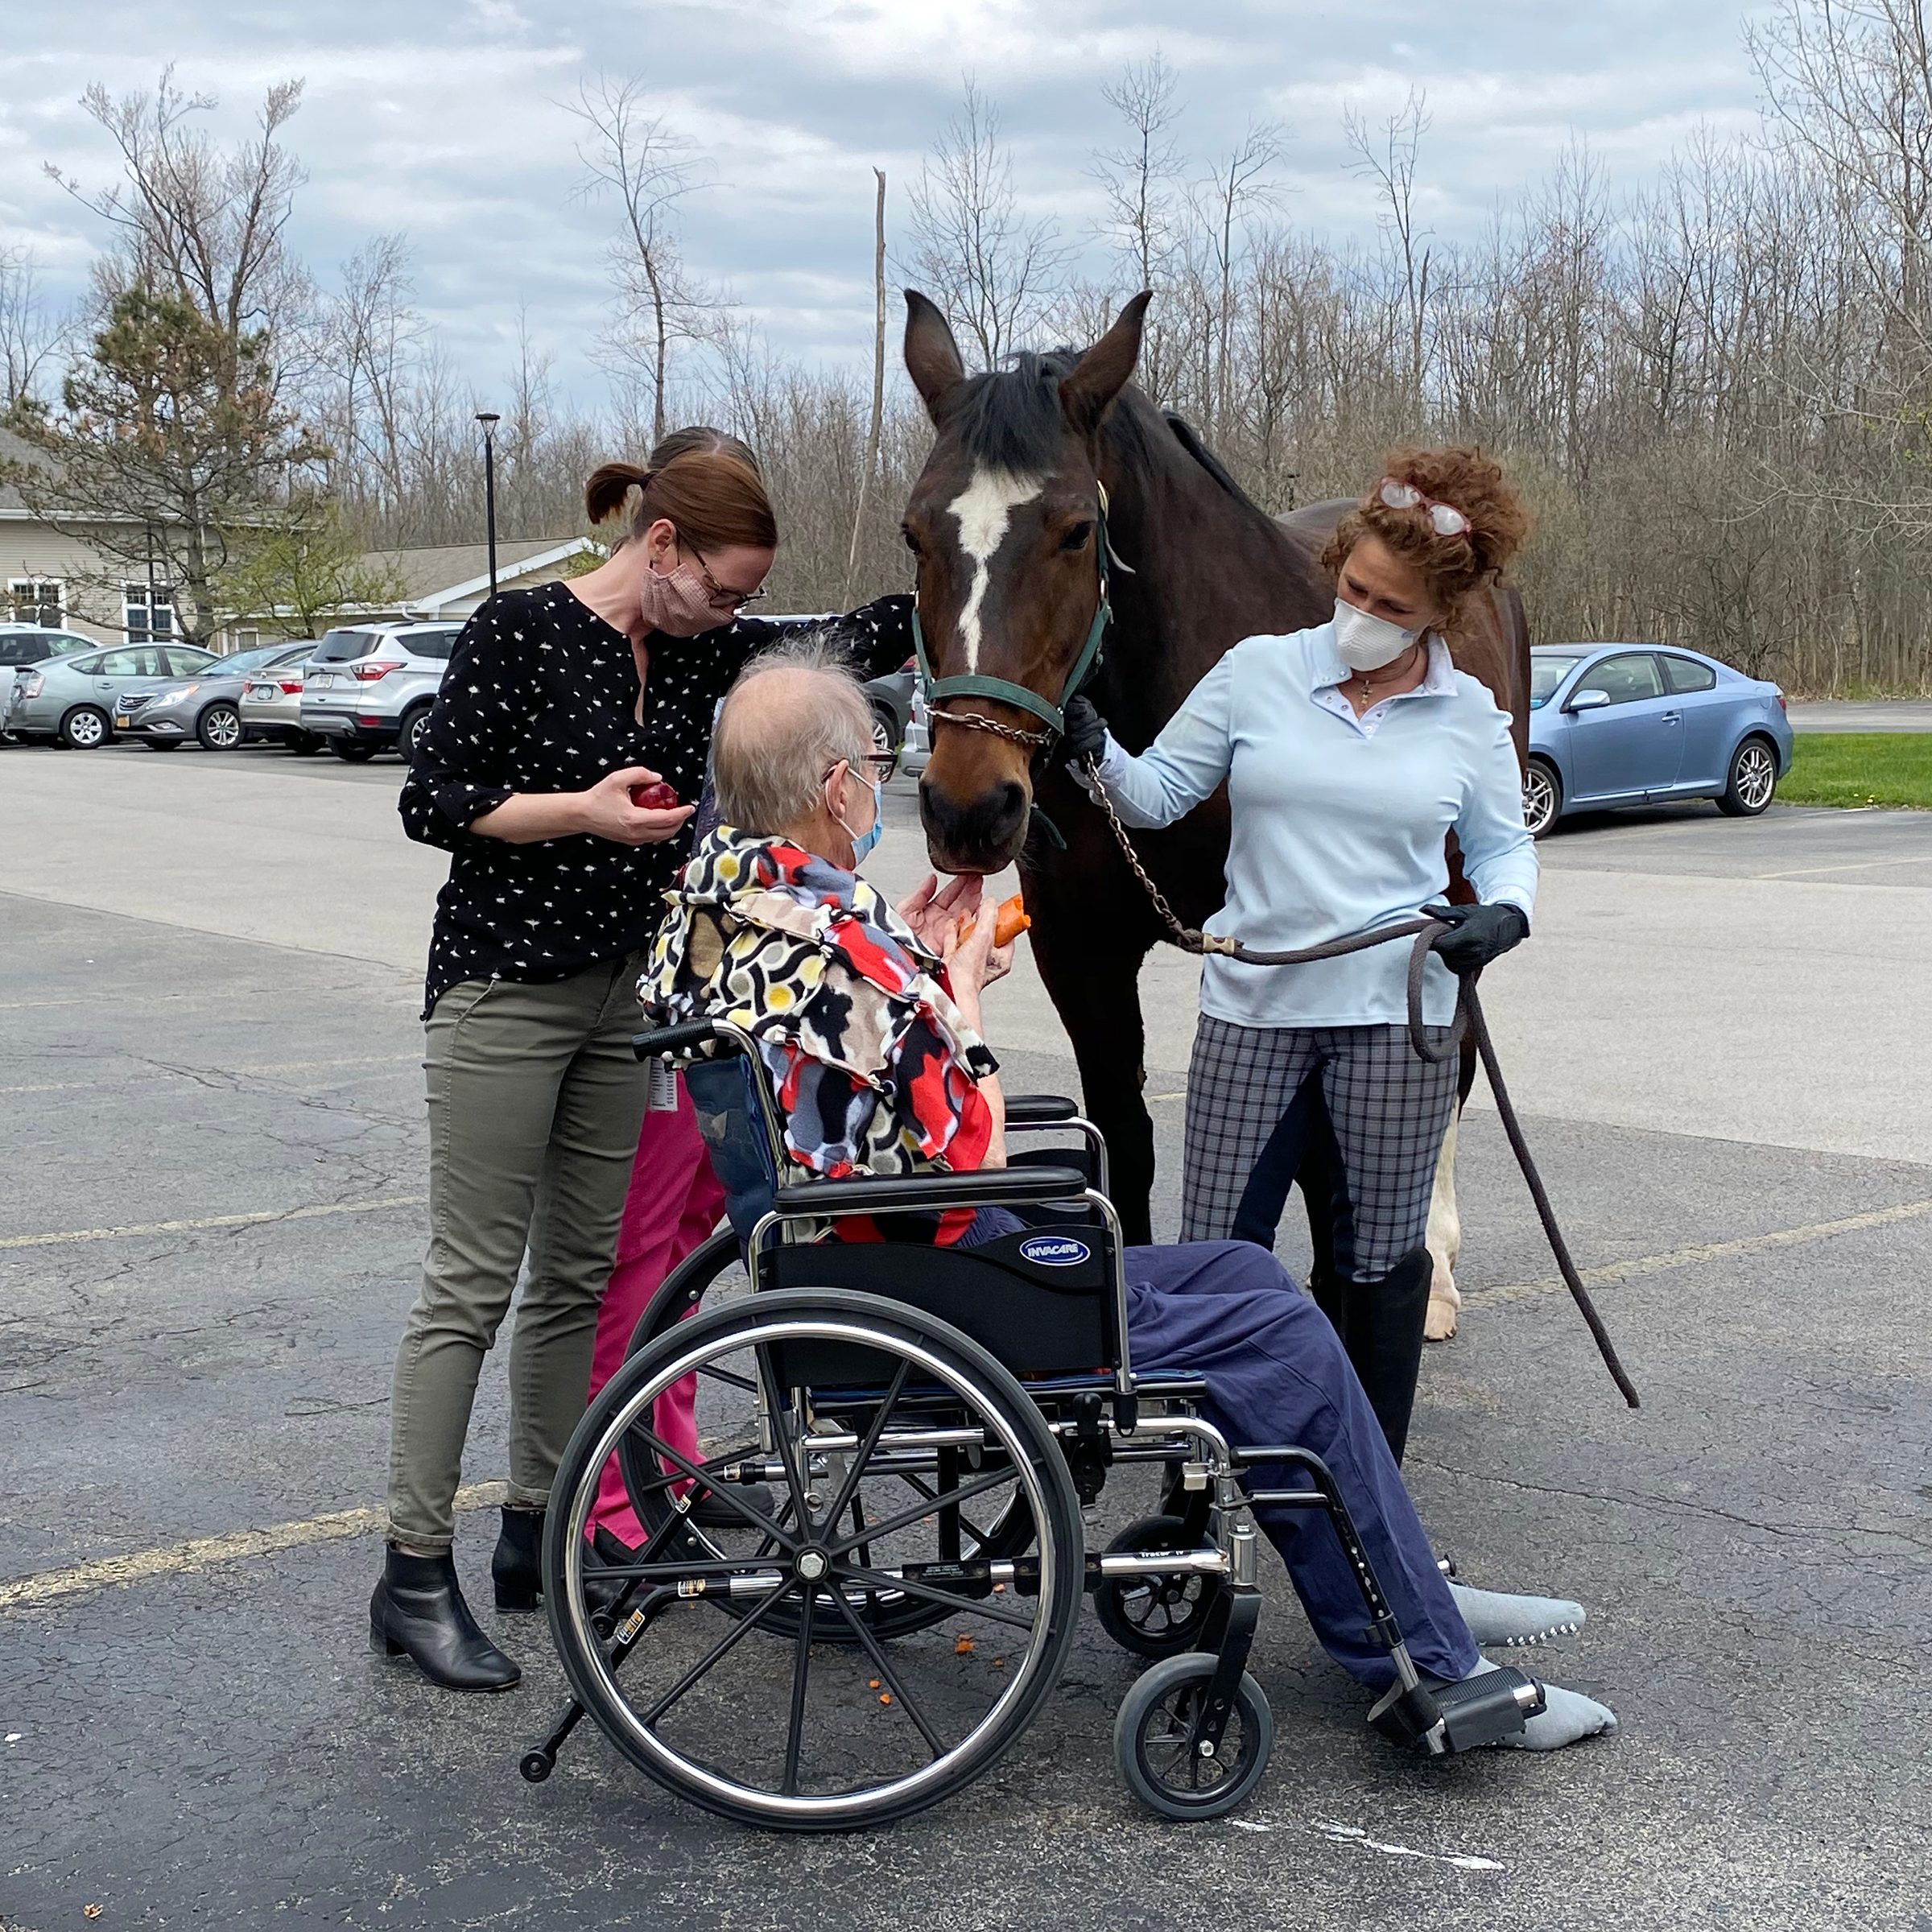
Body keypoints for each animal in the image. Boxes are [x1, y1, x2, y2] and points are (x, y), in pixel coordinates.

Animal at [900, 290, 1522, 1298]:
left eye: (1076, 531)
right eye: (913, 532)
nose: (968, 807)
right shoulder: (1081, 949)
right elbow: (1126, 1139)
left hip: (1453, 907)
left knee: (1450, 1070)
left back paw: (1435, 1265)